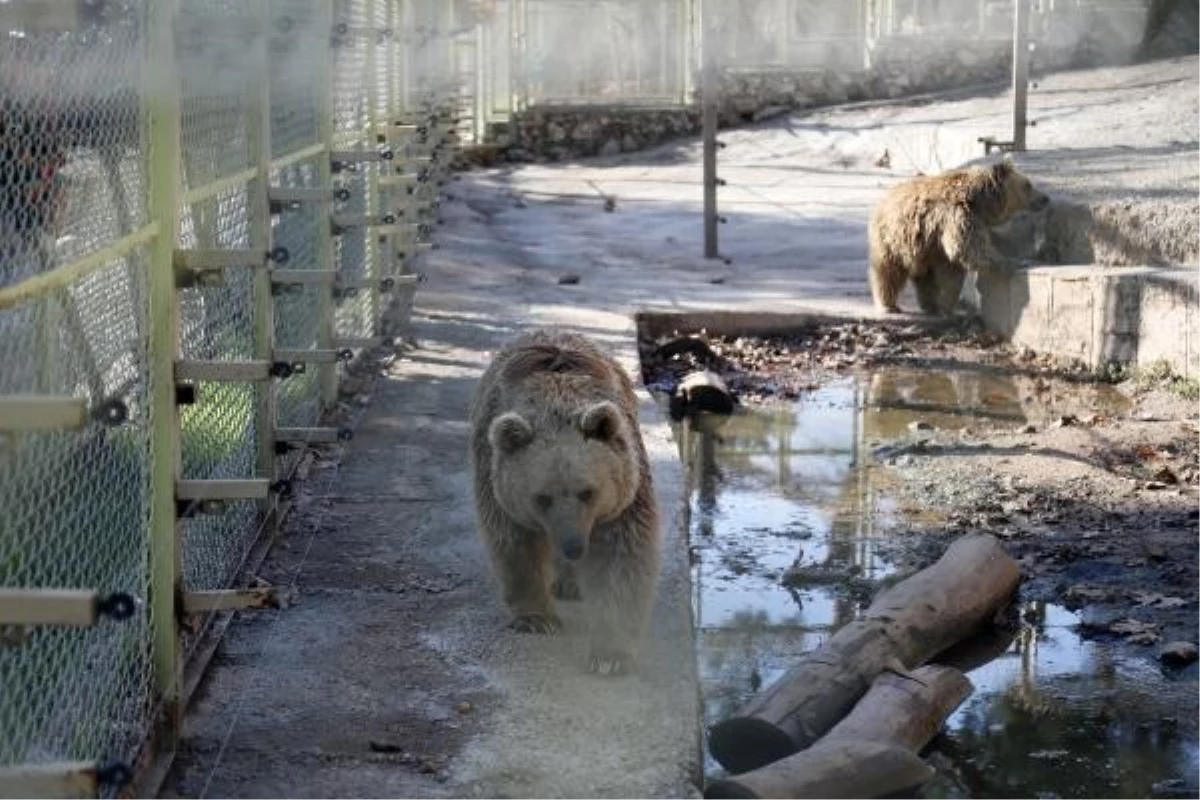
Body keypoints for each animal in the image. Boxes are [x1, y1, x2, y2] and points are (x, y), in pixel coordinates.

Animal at [468, 331, 662, 676]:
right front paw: (538, 618)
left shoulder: (625, 491)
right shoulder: (498, 484)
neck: (555, 404)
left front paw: (610, 654)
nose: (573, 546)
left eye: (588, 492)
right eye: (541, 497)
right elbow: (515, 544)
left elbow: (621, 556)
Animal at [864, 159, 1051, 316]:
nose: (1045, 198)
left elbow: (953, 273)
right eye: (1027, 185)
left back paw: (930, 305)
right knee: (888, 271)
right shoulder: (957, 216)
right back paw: (888, 305)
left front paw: (947, 305)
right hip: (891, 238)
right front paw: (1014, 261)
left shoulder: (940, 242)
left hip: (921, 247)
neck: (979, 202)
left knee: (925, 278)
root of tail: (885, 198)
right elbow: (970, 249)